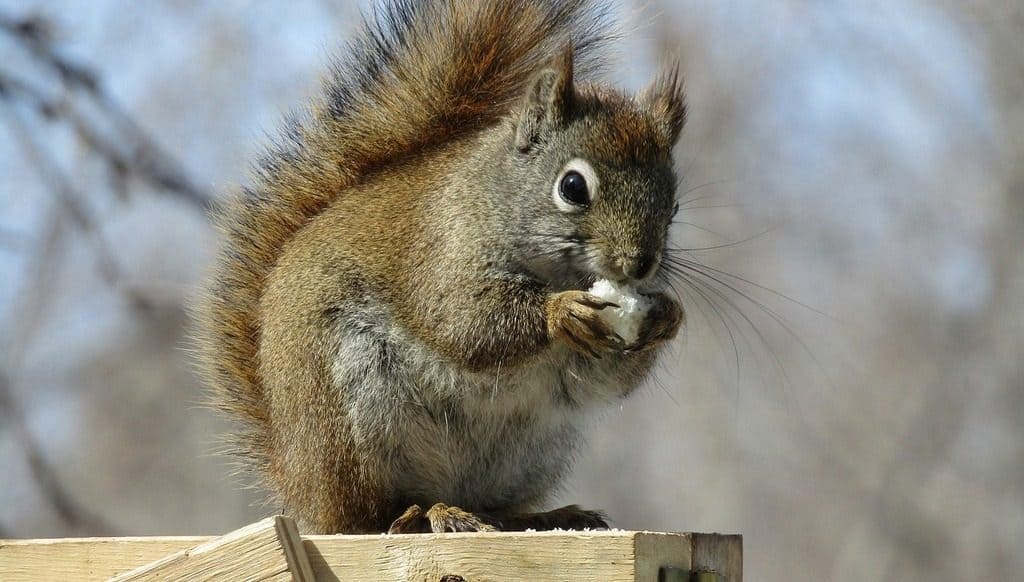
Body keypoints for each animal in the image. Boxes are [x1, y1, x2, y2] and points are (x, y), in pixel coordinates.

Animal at [194, 0, 687, 535]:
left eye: (675, 204)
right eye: (573, 187)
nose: (639, 264)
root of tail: (301, 486)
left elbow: (606, 381)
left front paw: (667, 316)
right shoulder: (441, 254)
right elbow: (464, 322)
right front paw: (561, 311)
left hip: (531, 453)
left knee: (494, 506)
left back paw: (540, 515)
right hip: (353, 422)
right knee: (369, 515)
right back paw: (421, 514)